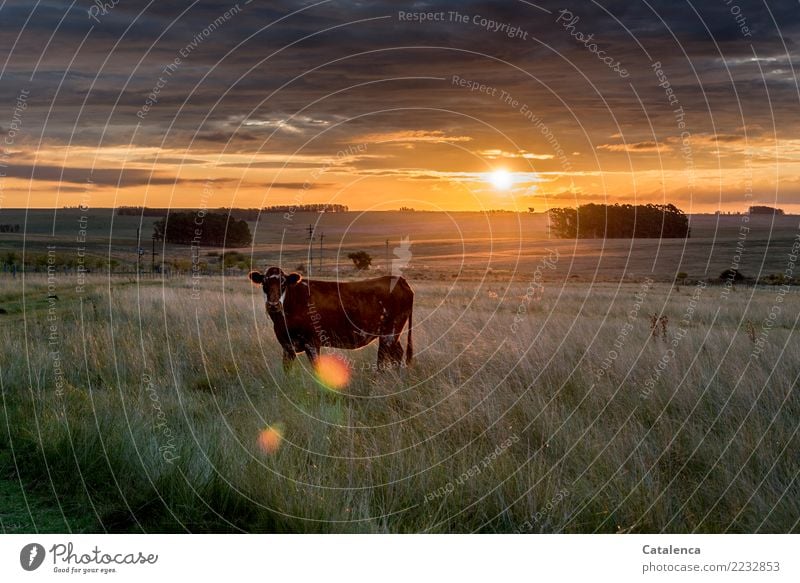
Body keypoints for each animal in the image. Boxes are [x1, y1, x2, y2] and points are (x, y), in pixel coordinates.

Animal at [248, 268, 412, 370]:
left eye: (283, 283)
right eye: (264, 283)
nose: (273, 305)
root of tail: (399, 280)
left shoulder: (312, 343)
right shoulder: (287, 346)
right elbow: (287, 371)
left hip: (389, 334)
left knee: (383, 360)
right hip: (392, 335)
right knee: (397, 354)